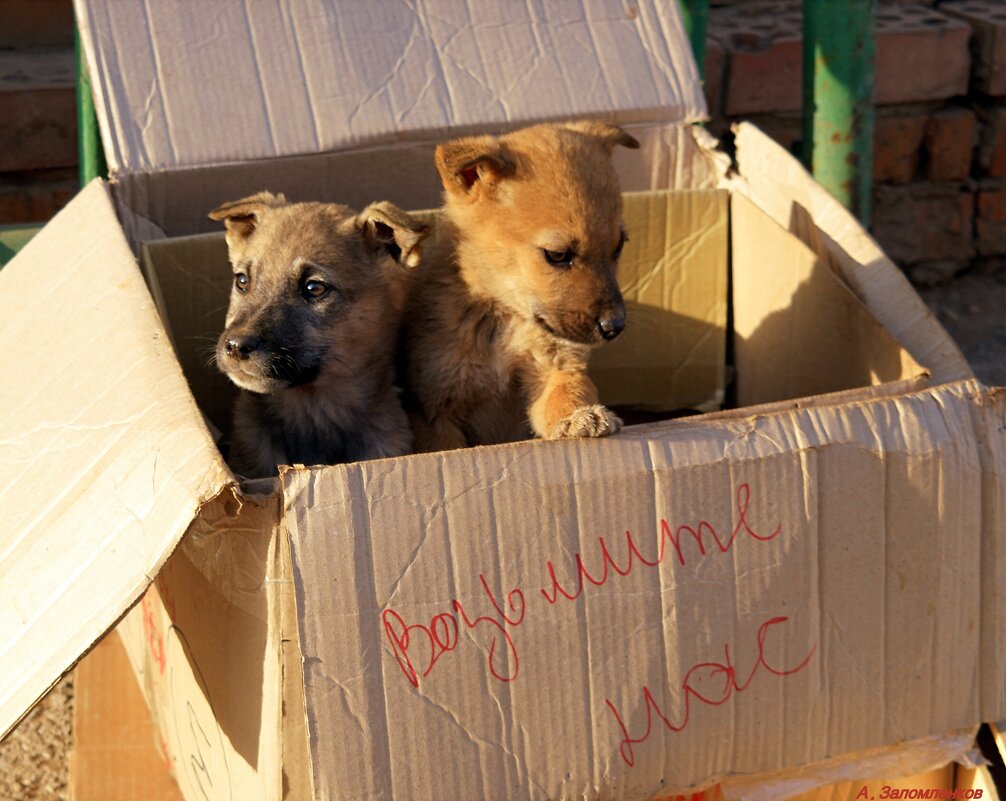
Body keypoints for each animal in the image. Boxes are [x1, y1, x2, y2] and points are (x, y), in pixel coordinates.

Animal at [400, 120, 635, 450]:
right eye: (558, 255)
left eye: (618, 247)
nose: (615, 326)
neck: (502, 318)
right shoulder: (436, 408)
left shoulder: (555, 365)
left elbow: (566, 391)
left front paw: (579, 417)